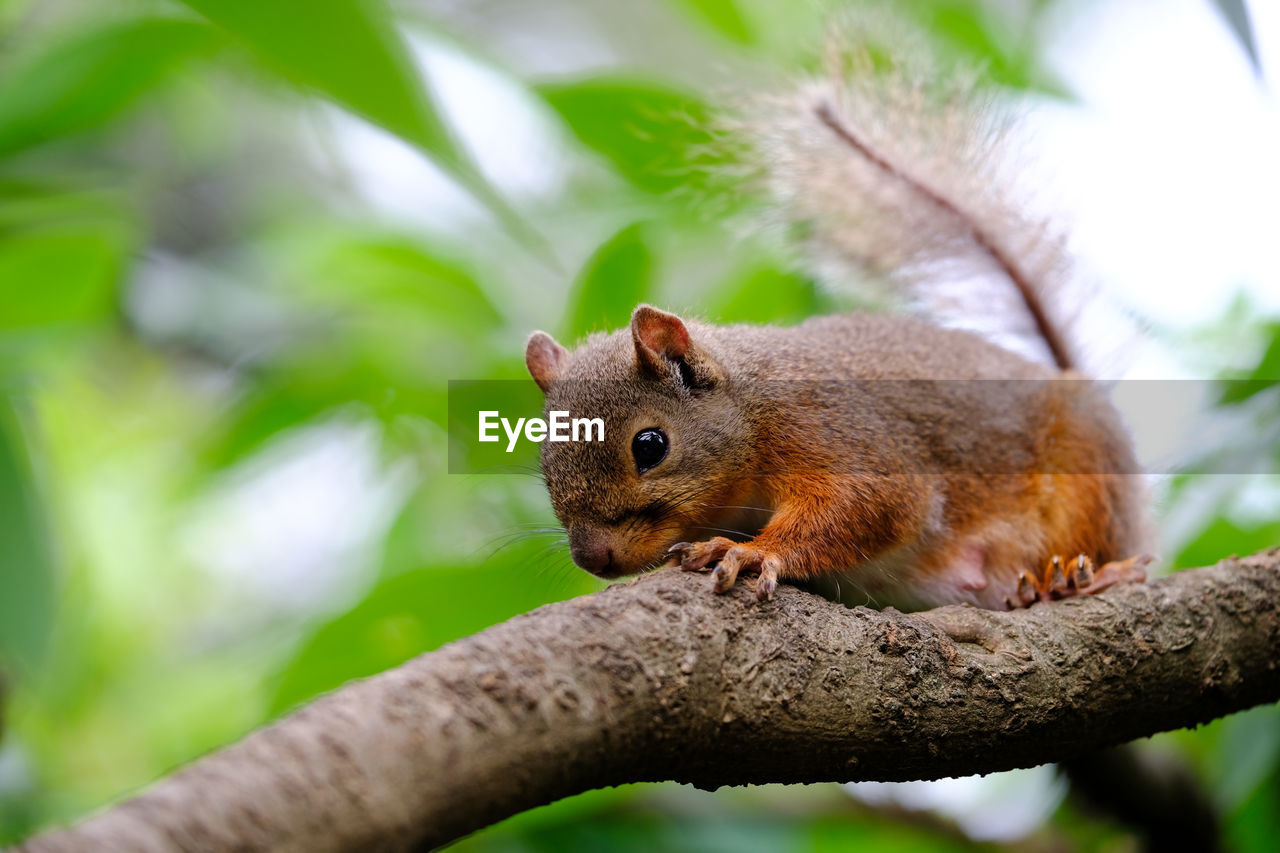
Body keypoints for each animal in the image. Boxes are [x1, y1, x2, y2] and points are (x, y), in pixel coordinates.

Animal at [517, 23, 1152, 607]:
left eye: (650, 446)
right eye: (542, 454)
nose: (592, 558)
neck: (752, 406)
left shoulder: (827, 425)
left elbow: (871, 503)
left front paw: (749, 551)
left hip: (1089, 472)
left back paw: (1078, 575)